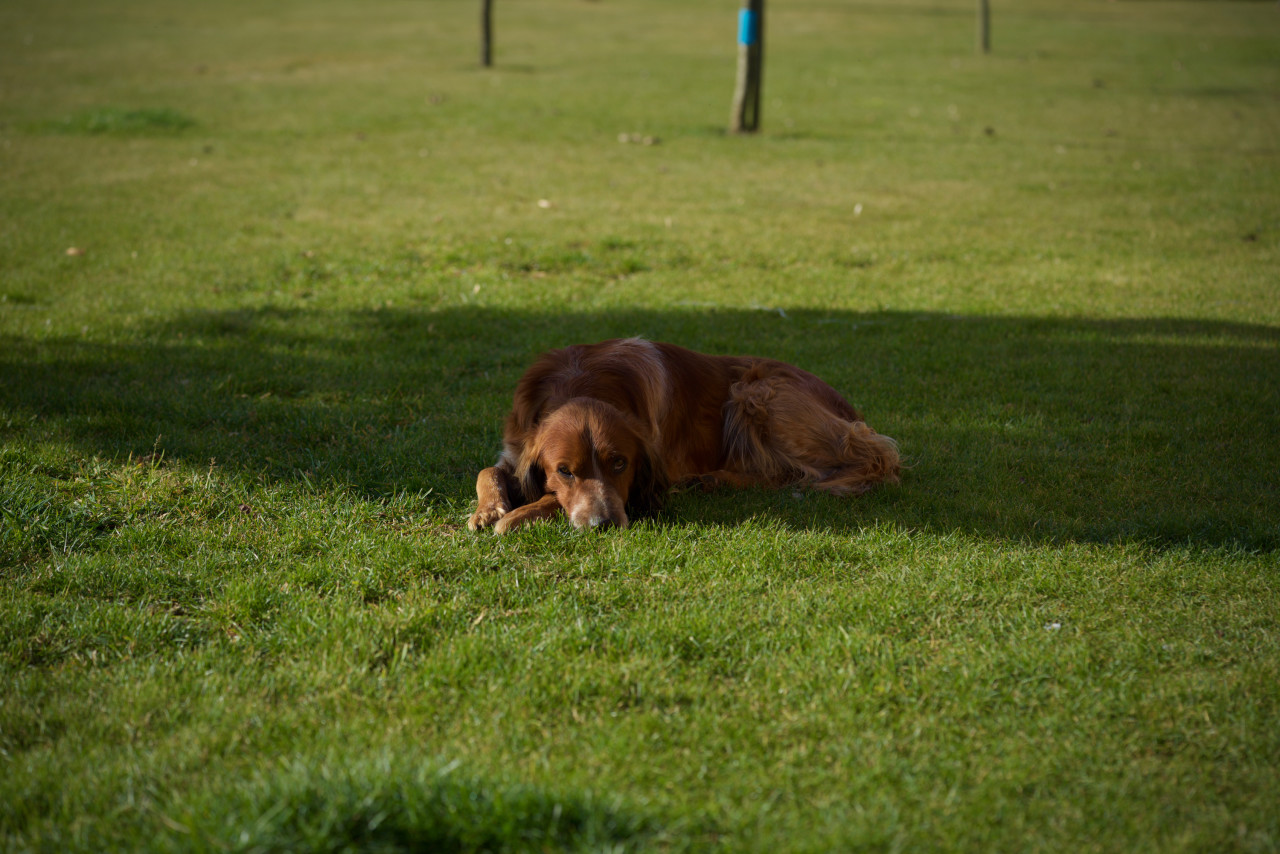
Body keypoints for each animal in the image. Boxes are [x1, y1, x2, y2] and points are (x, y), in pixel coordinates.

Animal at [471, 338, 901, 535]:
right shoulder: (515, 448)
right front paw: (488, 509)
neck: (581, 381)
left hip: (756, 392)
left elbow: (549, 499)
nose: (604, 523)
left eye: (620, 463)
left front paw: (515, 517)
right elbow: (487, 472)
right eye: (564, 470)